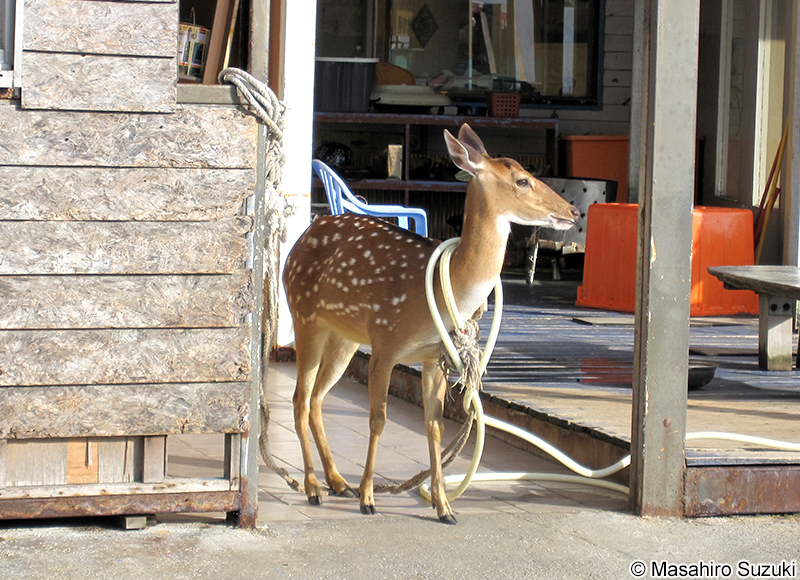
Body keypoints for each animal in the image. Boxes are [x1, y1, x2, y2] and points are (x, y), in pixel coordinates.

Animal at [282, 124, 579, 524]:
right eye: (522, 180)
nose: (573, 210)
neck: (441, 291)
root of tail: (297, 243)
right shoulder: (386, 341)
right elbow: (377, 420)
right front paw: (369, 498)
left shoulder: (434, 356)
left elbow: (434, 425)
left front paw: (444, 506)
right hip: (305, 317)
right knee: (299, 399)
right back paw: (314, 487)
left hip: (345, 336)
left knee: (316, 399)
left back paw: (338, 482)